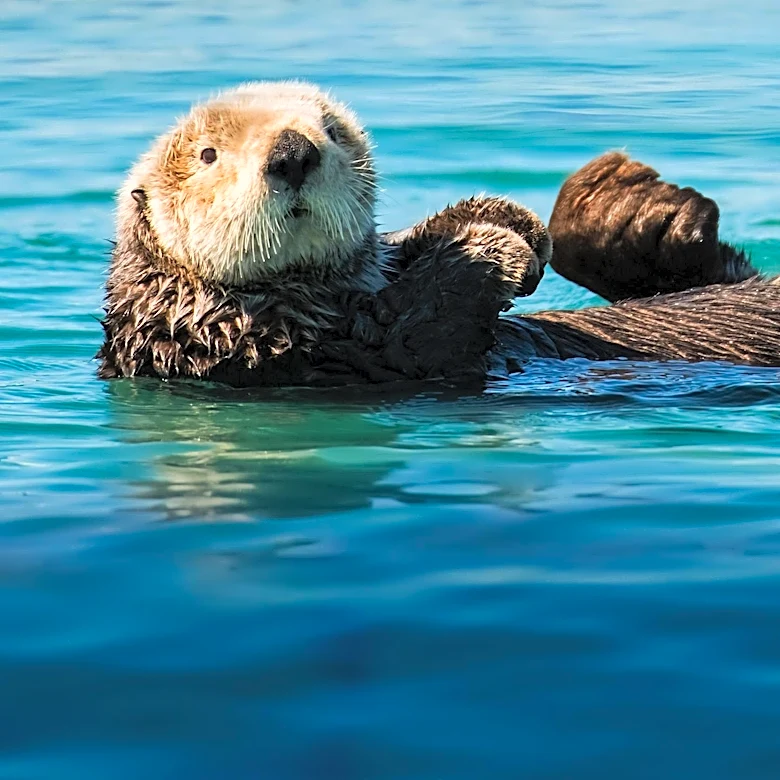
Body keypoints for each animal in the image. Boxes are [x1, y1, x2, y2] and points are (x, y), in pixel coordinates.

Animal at [98, 82, 780, 386]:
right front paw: (499, 249)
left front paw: (508, 219)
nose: (293, 152)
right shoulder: (286, 354)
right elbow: (425, 328)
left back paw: (624, 199)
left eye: (331, 131)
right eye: (208, 154)